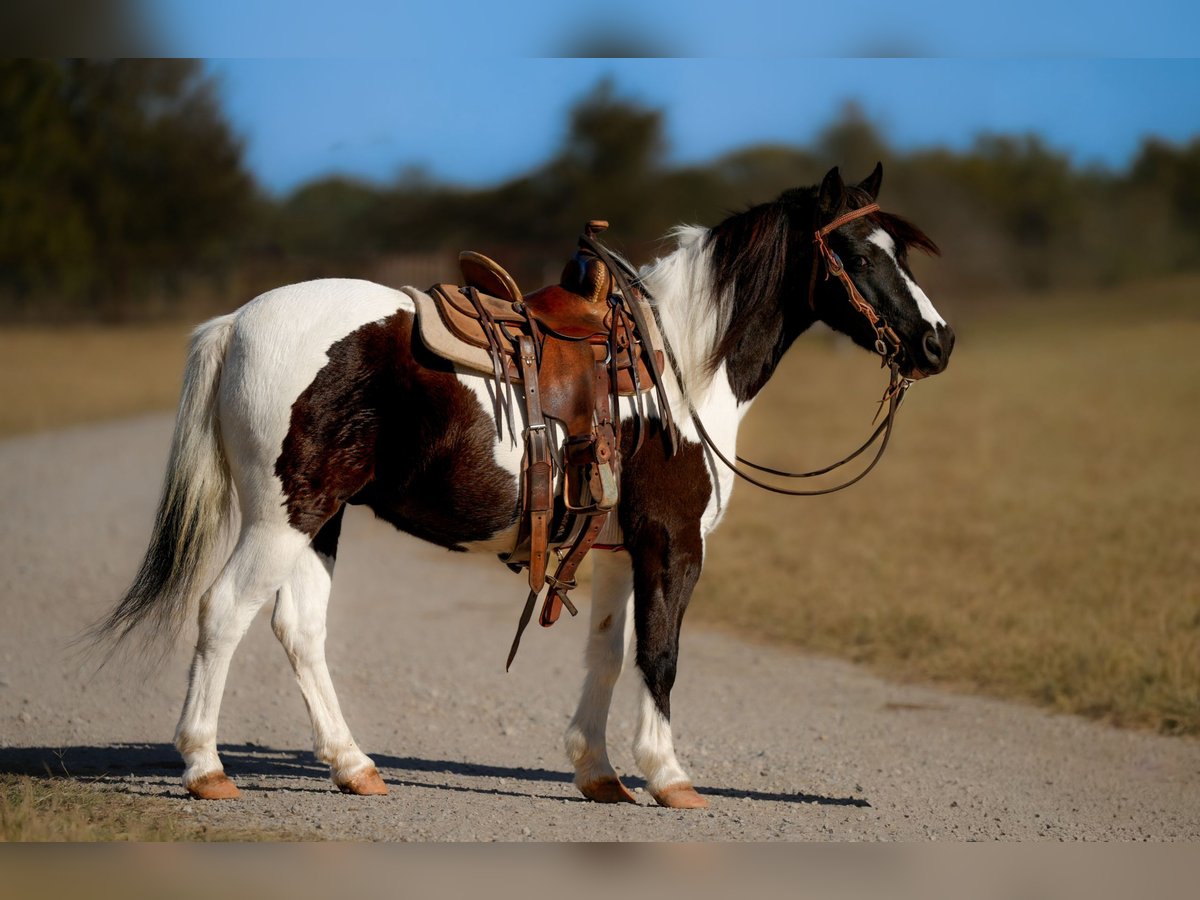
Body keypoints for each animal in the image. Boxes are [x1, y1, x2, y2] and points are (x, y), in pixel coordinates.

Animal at [94, 163, 953, 809]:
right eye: (861, 255)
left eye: (900, 254)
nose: (937, 343)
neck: (679, 365)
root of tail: (238, 322)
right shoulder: (671, 543)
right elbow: (661, 655)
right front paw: (668, 775)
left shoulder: (616, 551)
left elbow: (608, 653)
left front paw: (599, 773)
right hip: (283, 518)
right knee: (223, 613)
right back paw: (206, 768)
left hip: (317, 518)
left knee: (299, 629)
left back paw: (353, 766)